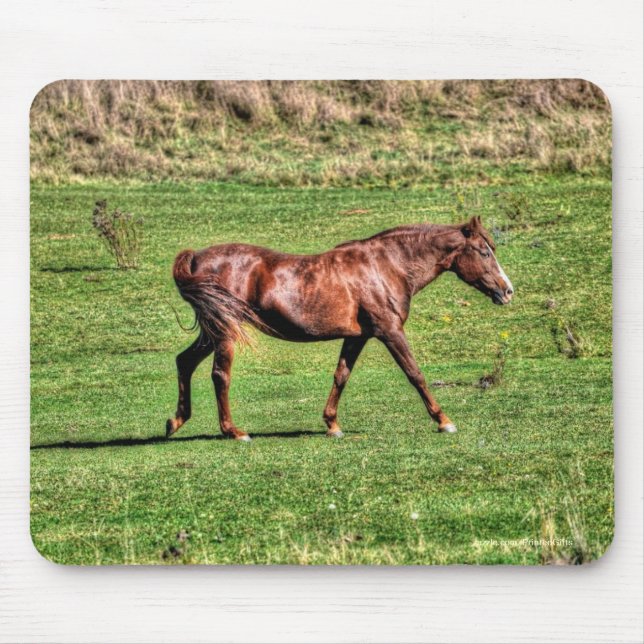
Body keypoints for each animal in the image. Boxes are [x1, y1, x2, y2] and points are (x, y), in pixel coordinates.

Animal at [167, 215, 514, 442]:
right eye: (485, 252)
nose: (507, 291)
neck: (387, 266)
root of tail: (196, 258)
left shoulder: (357, 337)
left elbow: (341, 376)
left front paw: (332, 425)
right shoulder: (390, 331)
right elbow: (415, 374)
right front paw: (444, 421)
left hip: (212, 331)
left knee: (184, 362)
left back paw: (175, 421)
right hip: (225, 331)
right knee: (220, 376)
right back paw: (234, 431)